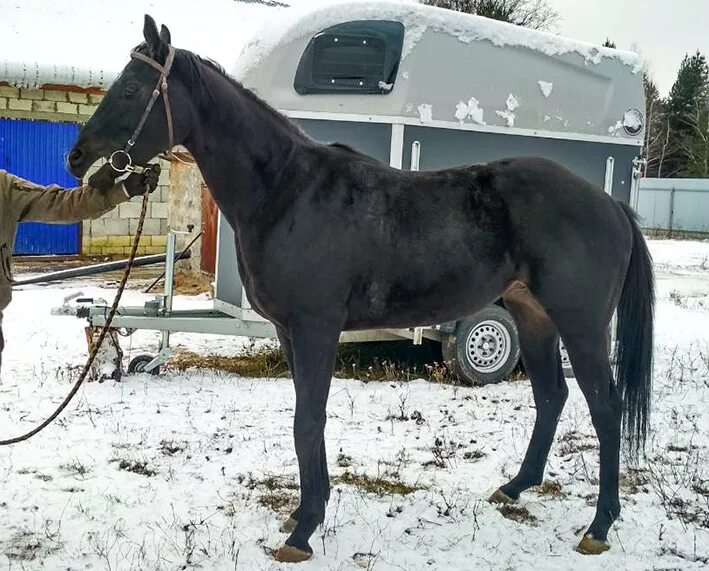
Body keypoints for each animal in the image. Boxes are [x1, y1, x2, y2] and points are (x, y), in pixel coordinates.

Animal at [68, 16, 652, 564]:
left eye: (131, 89)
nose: (76, 158)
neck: (288, 191)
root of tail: (609, 204)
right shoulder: (291, 333)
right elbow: (306, 418)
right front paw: (306, 513)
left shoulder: (316, 328)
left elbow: (309, 420)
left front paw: (303, 531)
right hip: (533, 315)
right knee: (551, 396)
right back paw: (515, 488)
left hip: (581, 323)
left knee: (605, 406)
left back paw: (600, 526)